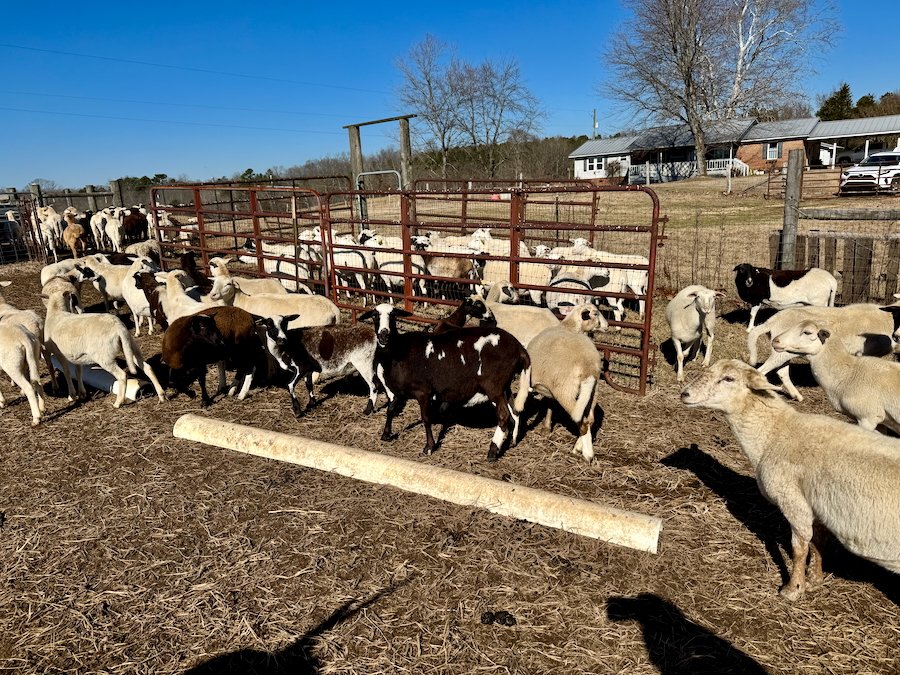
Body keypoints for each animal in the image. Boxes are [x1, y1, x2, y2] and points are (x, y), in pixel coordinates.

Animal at [360, 303, 530, 461]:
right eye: (374, 315)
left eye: (393, 315)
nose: (384, 335)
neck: (399, 351)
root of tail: (519, 349)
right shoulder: (398, 391)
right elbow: (390, 410)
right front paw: (386, 435)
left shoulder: (423, 392)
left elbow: (426, 418)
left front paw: (429, 447)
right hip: (504, 387)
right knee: (515, 412)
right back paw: (512, 440)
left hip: (493, 386)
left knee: (503, 415)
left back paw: (492, 452)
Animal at [513, 303, 606, 462]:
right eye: (595, 313)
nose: (607, 325)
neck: (568, 326)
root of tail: (588, 366)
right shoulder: (550, 388)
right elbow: (550, 405)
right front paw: (546, 427)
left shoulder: (528, 381)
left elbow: (518, 406)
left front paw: (513, 437)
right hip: (592, 391)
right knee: (590, 419)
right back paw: (579, 447)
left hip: (566, 391)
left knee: (583, 421)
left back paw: (587, 454)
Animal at [680, 359, 900, 599]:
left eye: (729, 378)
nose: (684, 393)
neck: (773, 434)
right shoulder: (815, 504)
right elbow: (818, 541)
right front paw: (815, 579)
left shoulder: (793, 500)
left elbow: (799, 546)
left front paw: (793, 589)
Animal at [748, 303, 896, 401]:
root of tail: (771, 321)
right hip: (781, 351)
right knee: (762, 371)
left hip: (784, 352)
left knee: (782, 372)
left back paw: (797, 396)